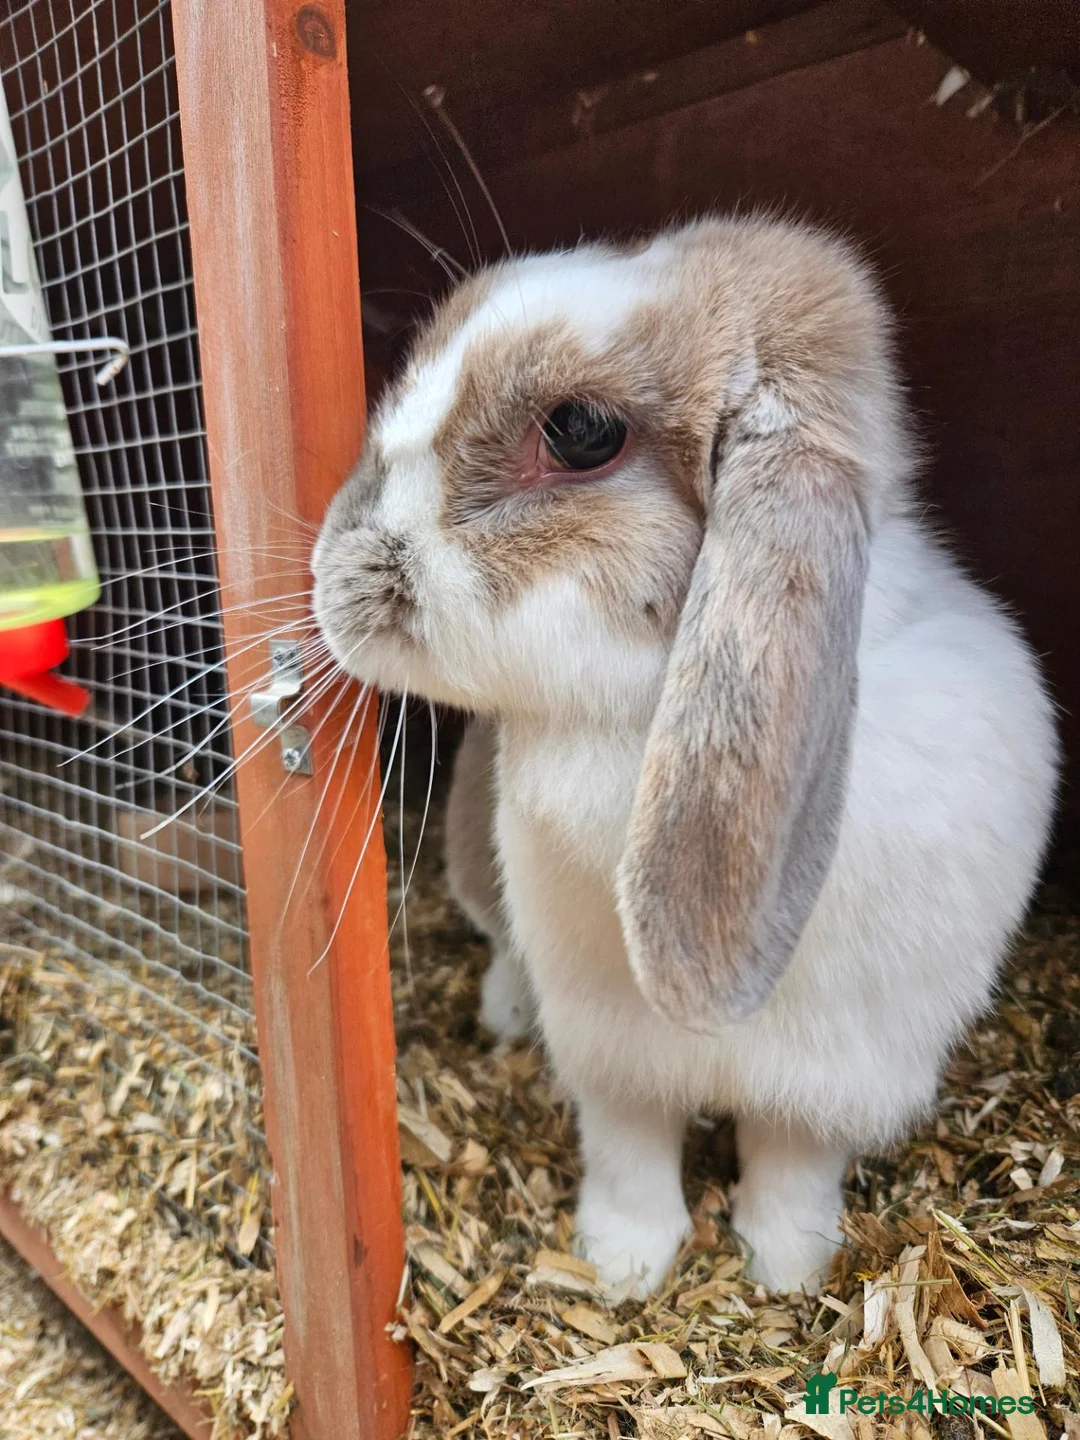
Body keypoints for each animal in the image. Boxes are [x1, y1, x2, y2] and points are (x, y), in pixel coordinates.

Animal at [312, 215, 1059, 1296]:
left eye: (580, 431)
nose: (328, 569)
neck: (637, 721)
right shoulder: (612, 1051)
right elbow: (631, 1151)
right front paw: (623, 1263)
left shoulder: (837, 1069)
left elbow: (790, 1162)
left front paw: (789, 1265)